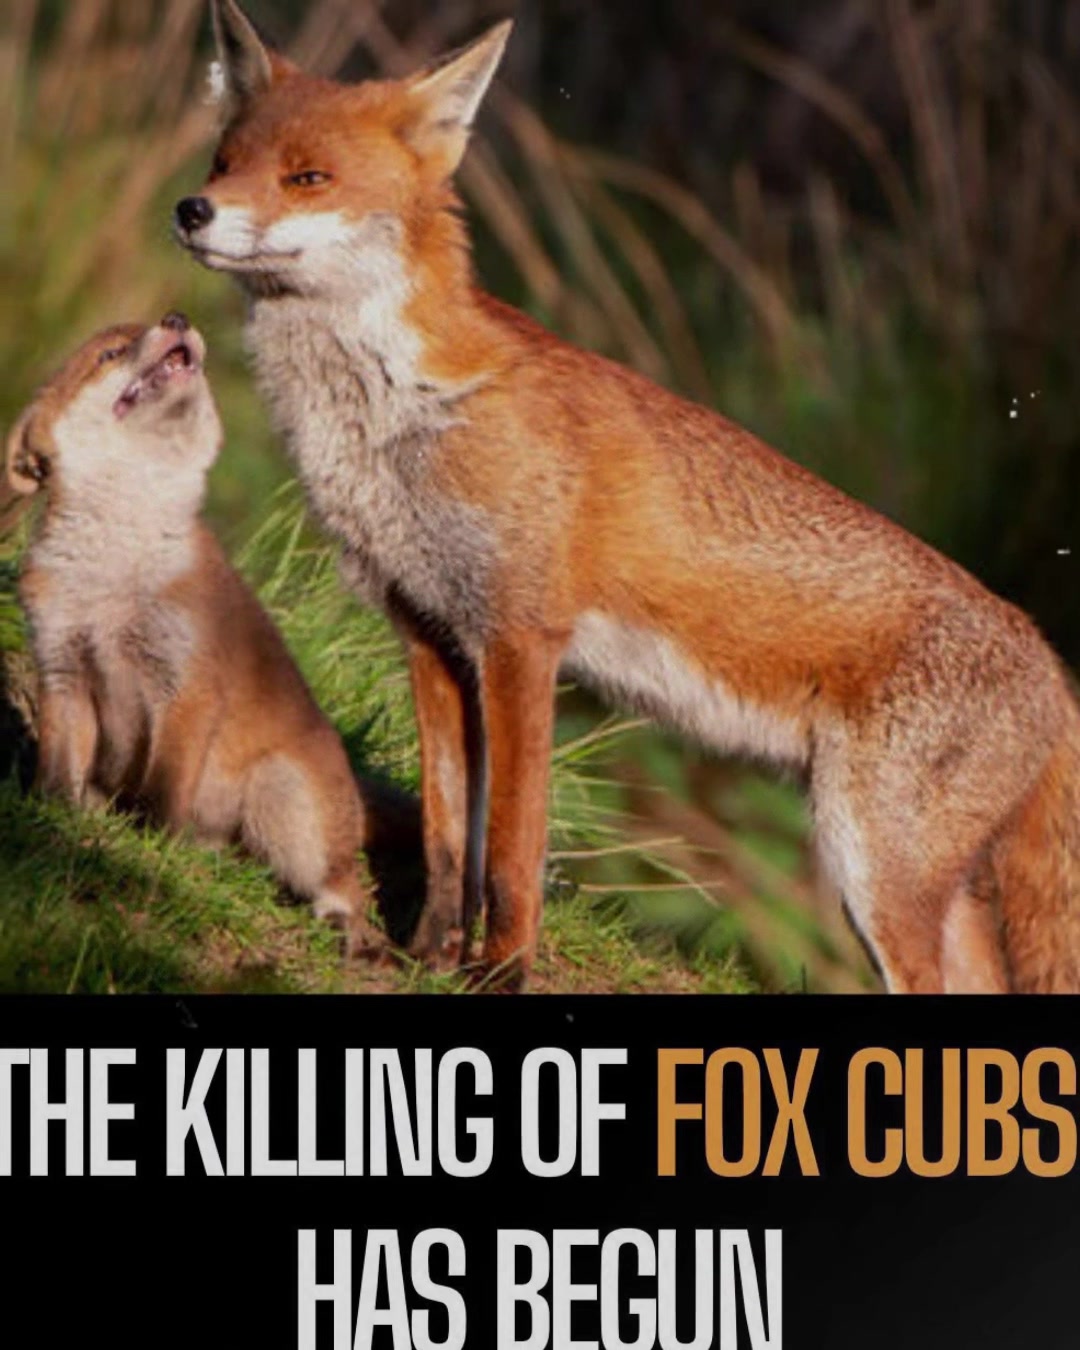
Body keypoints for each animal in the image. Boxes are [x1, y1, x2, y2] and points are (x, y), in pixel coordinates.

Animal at [3, 311, 415, 950]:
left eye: (147, 329)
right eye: (111, 353)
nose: (175, 319)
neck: (114, 589)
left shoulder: (188, 684)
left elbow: (165, 789)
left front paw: (151, 847)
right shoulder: (62, 667)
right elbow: (58, 771)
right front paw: (58, 822)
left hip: (283, 798)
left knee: (345, 880)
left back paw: (346, 924)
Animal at [174, 0, 1080, 993]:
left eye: (307, 178)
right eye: (224, 161)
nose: (192, 209)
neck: (400, 415)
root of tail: (1052, 665)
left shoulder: (521, 641)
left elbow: (513, 848)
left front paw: (502, 973)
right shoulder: (431, 634)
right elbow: (451, 838)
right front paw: (431, 957)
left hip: (871, 866)